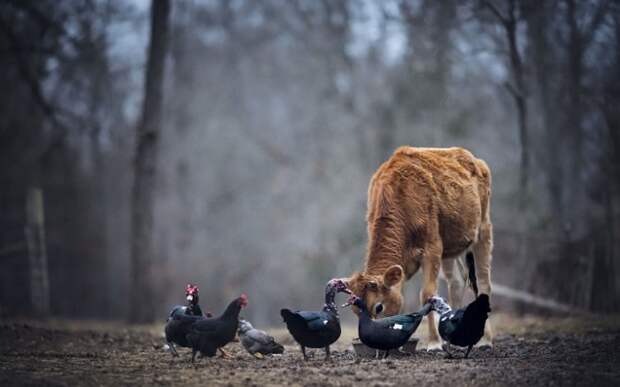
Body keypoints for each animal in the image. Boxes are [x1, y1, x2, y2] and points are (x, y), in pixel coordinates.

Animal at [344, 146, 494, 352]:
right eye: (355, 310)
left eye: (378, 307)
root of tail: (473, 158)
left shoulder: (432, 248)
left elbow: (427, 294)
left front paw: (434, 343)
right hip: (450, 248)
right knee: (456, 281)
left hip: (483, 231)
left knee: (484, 282)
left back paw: (486, 341)